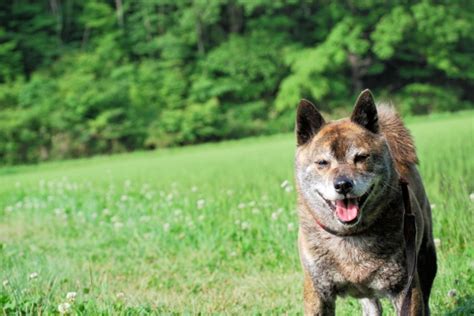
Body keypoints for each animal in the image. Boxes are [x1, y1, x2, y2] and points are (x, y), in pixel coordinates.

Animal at [296, 89, 436, 316]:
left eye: (361, 157)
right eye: (322, 163)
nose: (343, 185)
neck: (350, 236)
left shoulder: (405, 288)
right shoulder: (317, 291)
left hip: (426, 256)